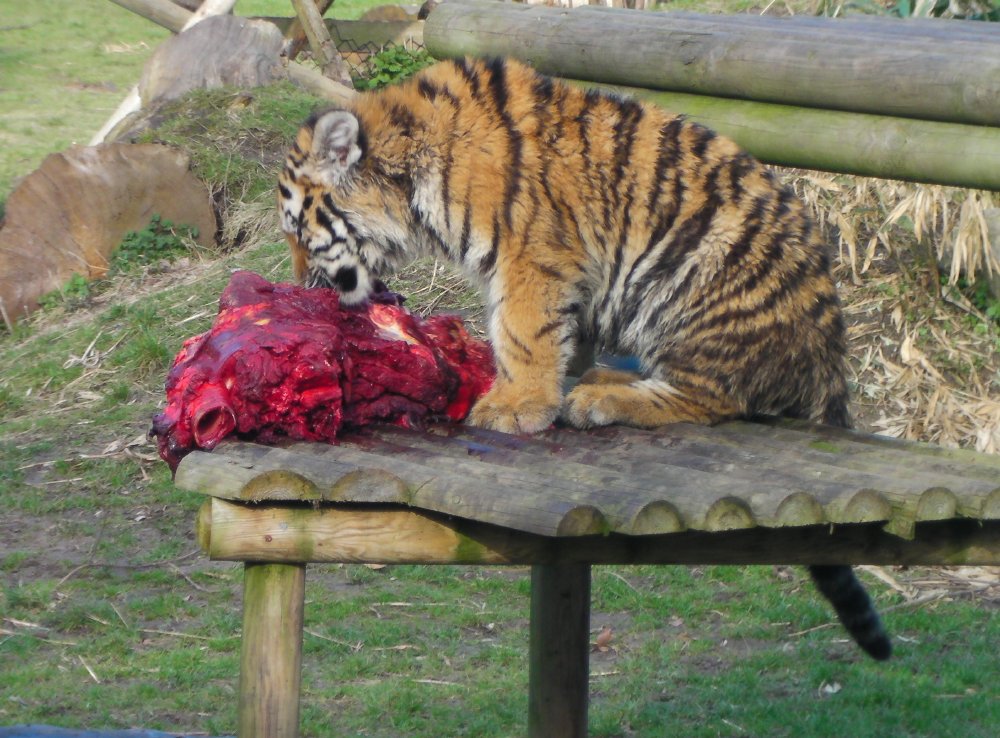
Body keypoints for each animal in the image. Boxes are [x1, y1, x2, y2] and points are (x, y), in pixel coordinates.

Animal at [277, 56, 891, 660]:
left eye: (300, 232)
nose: (301, 285)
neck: (409, 178)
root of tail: (830, 351)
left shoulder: (531, 256)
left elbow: (522, 332)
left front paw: (517, 405)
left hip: (698, 288)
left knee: (714, 398)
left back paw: (602, 399)